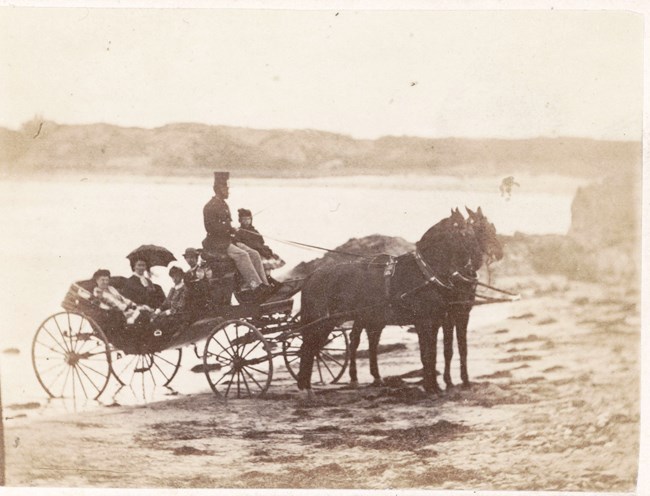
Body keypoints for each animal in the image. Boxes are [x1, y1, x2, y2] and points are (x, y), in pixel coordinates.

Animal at [298, 209, 476, 400]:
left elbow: (432, 353)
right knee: (309, 348)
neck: (424, 272)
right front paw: (430, 387)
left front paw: (434, 386)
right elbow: (426, 355)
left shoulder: (435, 321)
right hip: (321, 323)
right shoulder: (423, 322)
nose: (471, 270)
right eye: (464, 233)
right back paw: (306, 388)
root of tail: (312, 275)